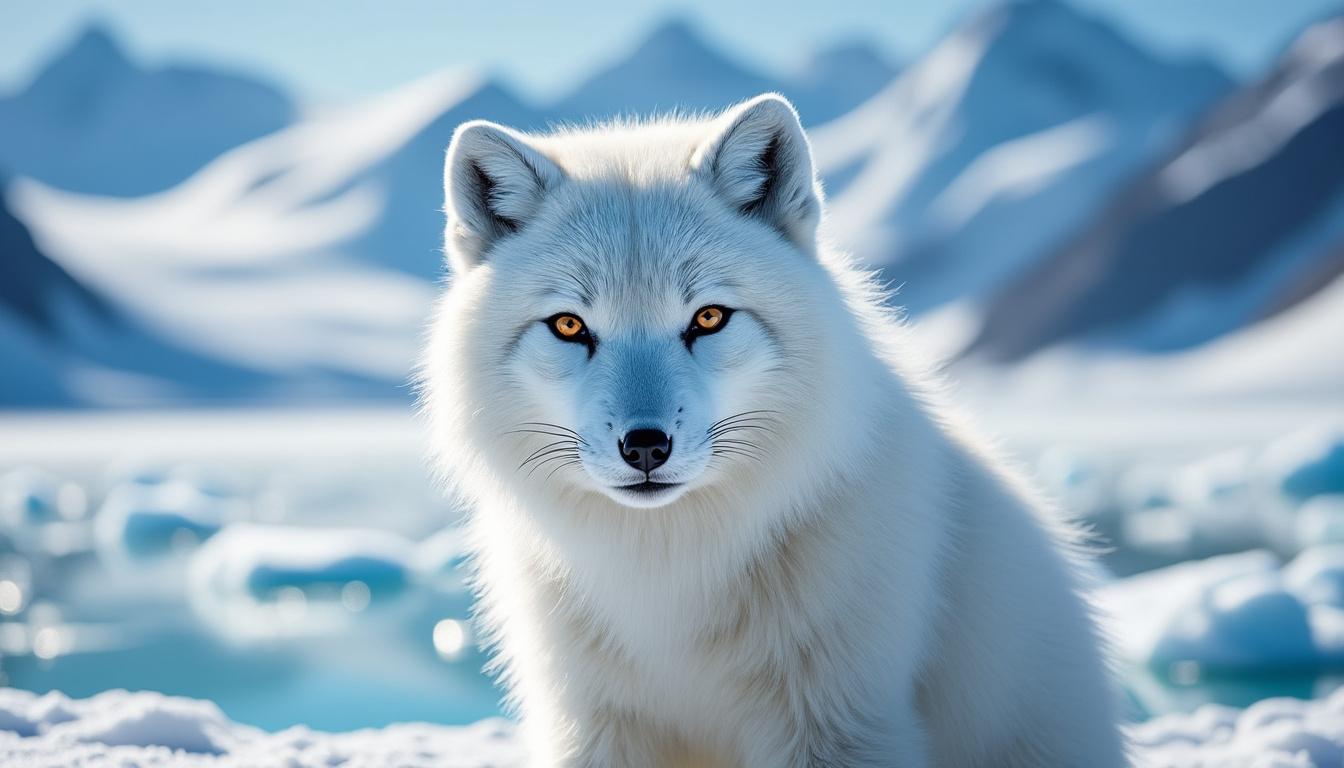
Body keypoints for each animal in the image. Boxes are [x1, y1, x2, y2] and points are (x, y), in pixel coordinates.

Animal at [419, 94, 1128, 767]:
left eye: (709, 317)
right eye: (569, 326)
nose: (645, 446)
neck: (670, 575)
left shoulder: (835, 721)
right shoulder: (594, 726)